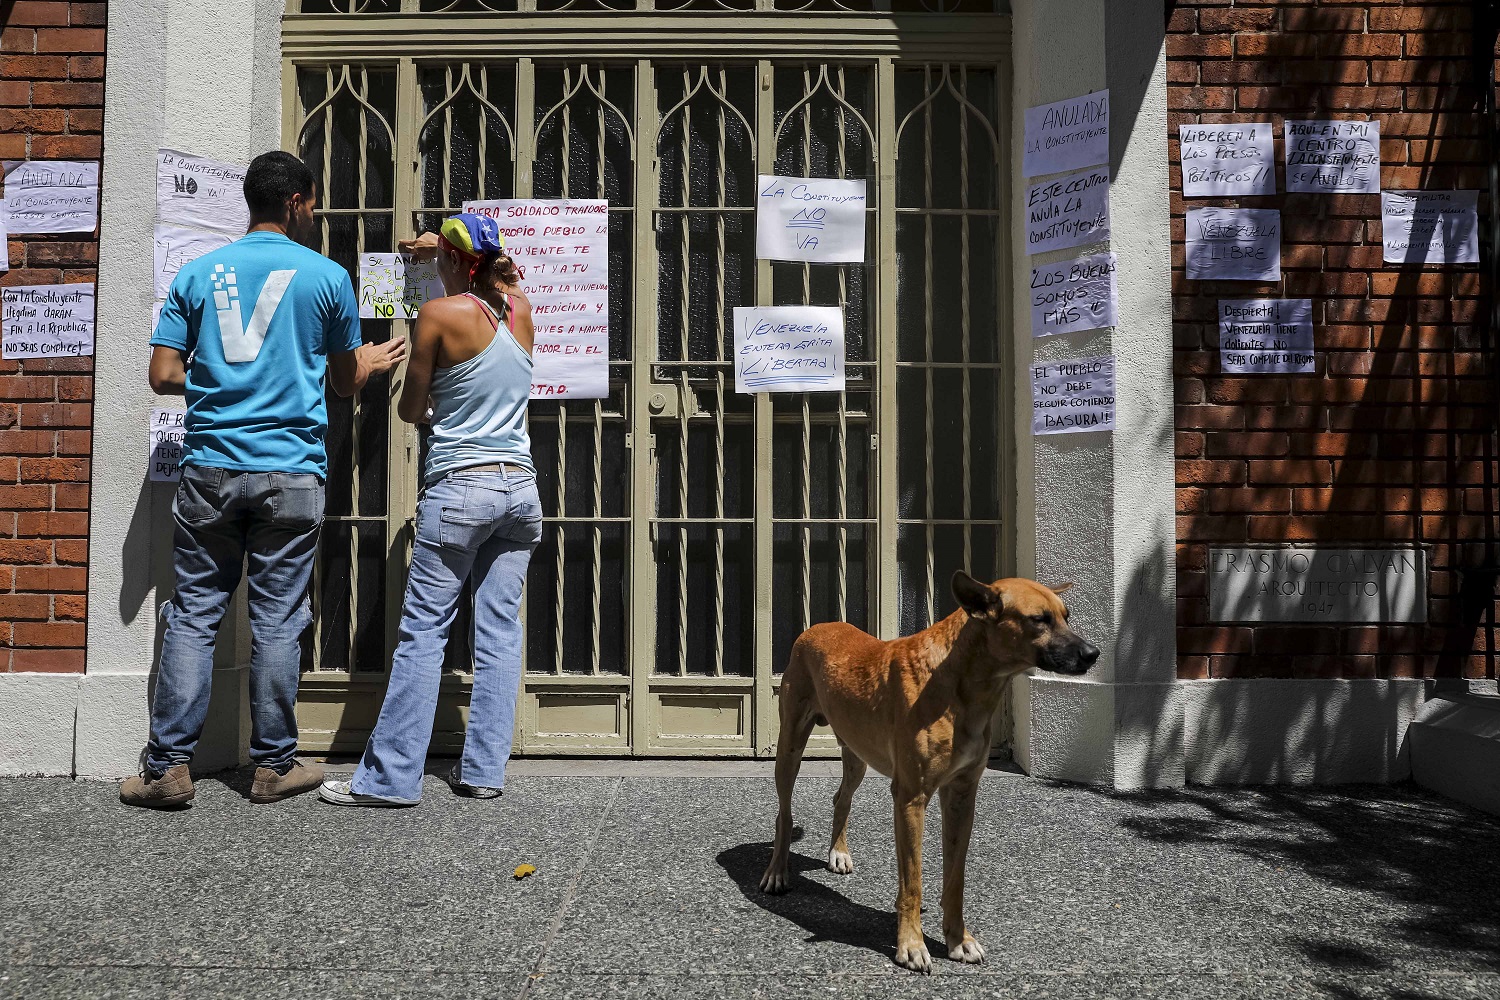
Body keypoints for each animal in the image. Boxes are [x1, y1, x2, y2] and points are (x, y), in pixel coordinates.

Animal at [762, 575, 1104, 971]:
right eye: (1039, 620)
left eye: (1066, 616)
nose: (1093, 654)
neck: (963, 685)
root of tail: (818, 626)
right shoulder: (911, 798)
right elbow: (912, 881)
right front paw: (911, 944)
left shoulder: (962, 795)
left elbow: (955, 878)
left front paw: (959, 940)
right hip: (790, 745)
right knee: (784, 812)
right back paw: (777, 871)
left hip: (857, 752)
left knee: (841, 798)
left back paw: (838, 853)